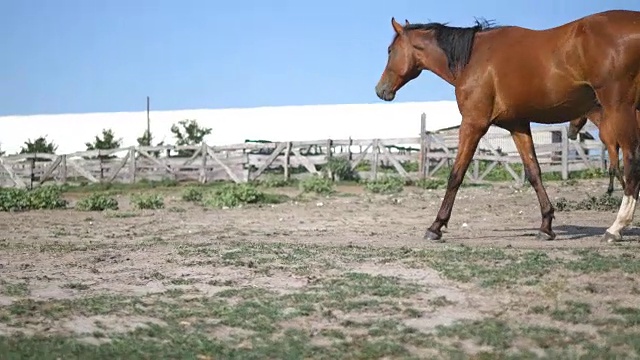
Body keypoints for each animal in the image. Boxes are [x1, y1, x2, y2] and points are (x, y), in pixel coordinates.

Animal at [378, 10, 640, 245]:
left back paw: (616, 228)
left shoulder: (473, 124)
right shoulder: (518, 125)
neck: (473, 58)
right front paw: (546, 226)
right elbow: (533, 172)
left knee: (631, 162)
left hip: (621, 111)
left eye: (390, 50)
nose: (380, 90)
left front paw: (436, 226)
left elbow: (456, 174)